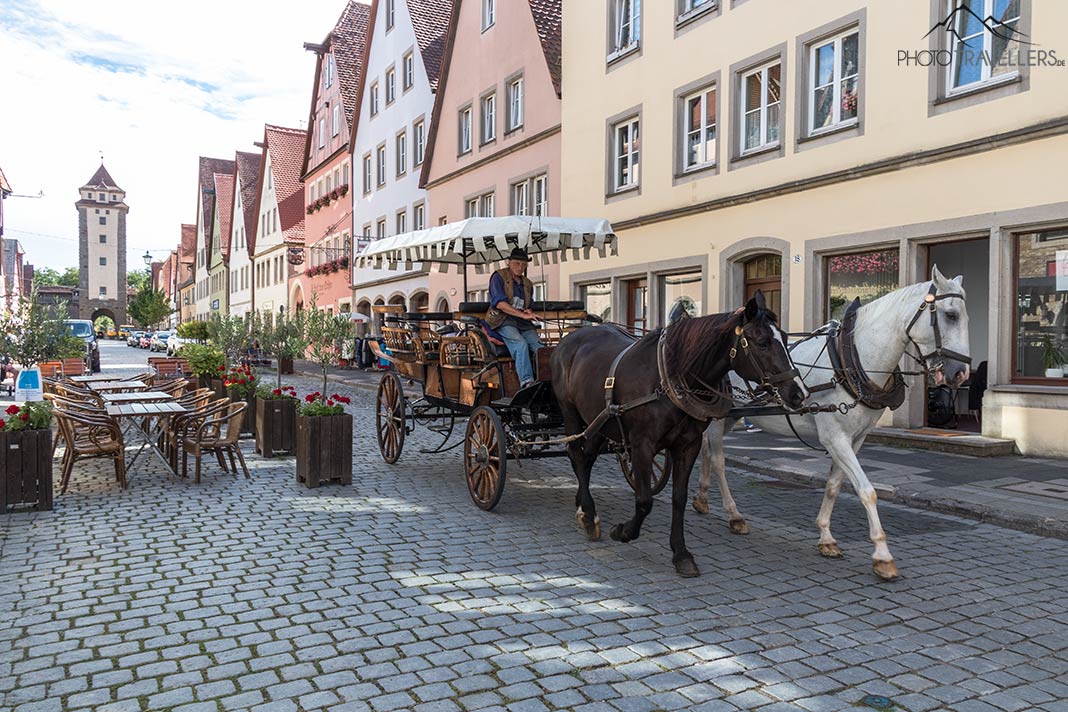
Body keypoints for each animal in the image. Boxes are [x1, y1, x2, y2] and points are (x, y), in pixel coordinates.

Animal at [551, 292, 803, 576]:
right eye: (762, 343)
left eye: (785, 338)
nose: (798, 393)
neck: (670, 376)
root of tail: (571, 337)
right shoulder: (642, 445)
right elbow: (644, 500)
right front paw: (623, 531)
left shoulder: (687, 445)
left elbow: (679, 498)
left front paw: (681, 553)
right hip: (570, 411)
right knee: (576, 454)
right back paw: (589, 514)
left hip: (599, 420)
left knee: (587, 458)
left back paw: (583, 506)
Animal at [696, 266, 974, 580]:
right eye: (950, 315)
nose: (961, 373)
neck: (851, 359)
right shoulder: (835, 438)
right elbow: (867, 491)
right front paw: (882, 555)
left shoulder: (855, 438)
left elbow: (834, 485)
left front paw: (826, 538)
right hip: (719, 417)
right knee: (718, 460)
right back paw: (733, 514)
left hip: (729, 417)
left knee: (705, 450)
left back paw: (702, 499)